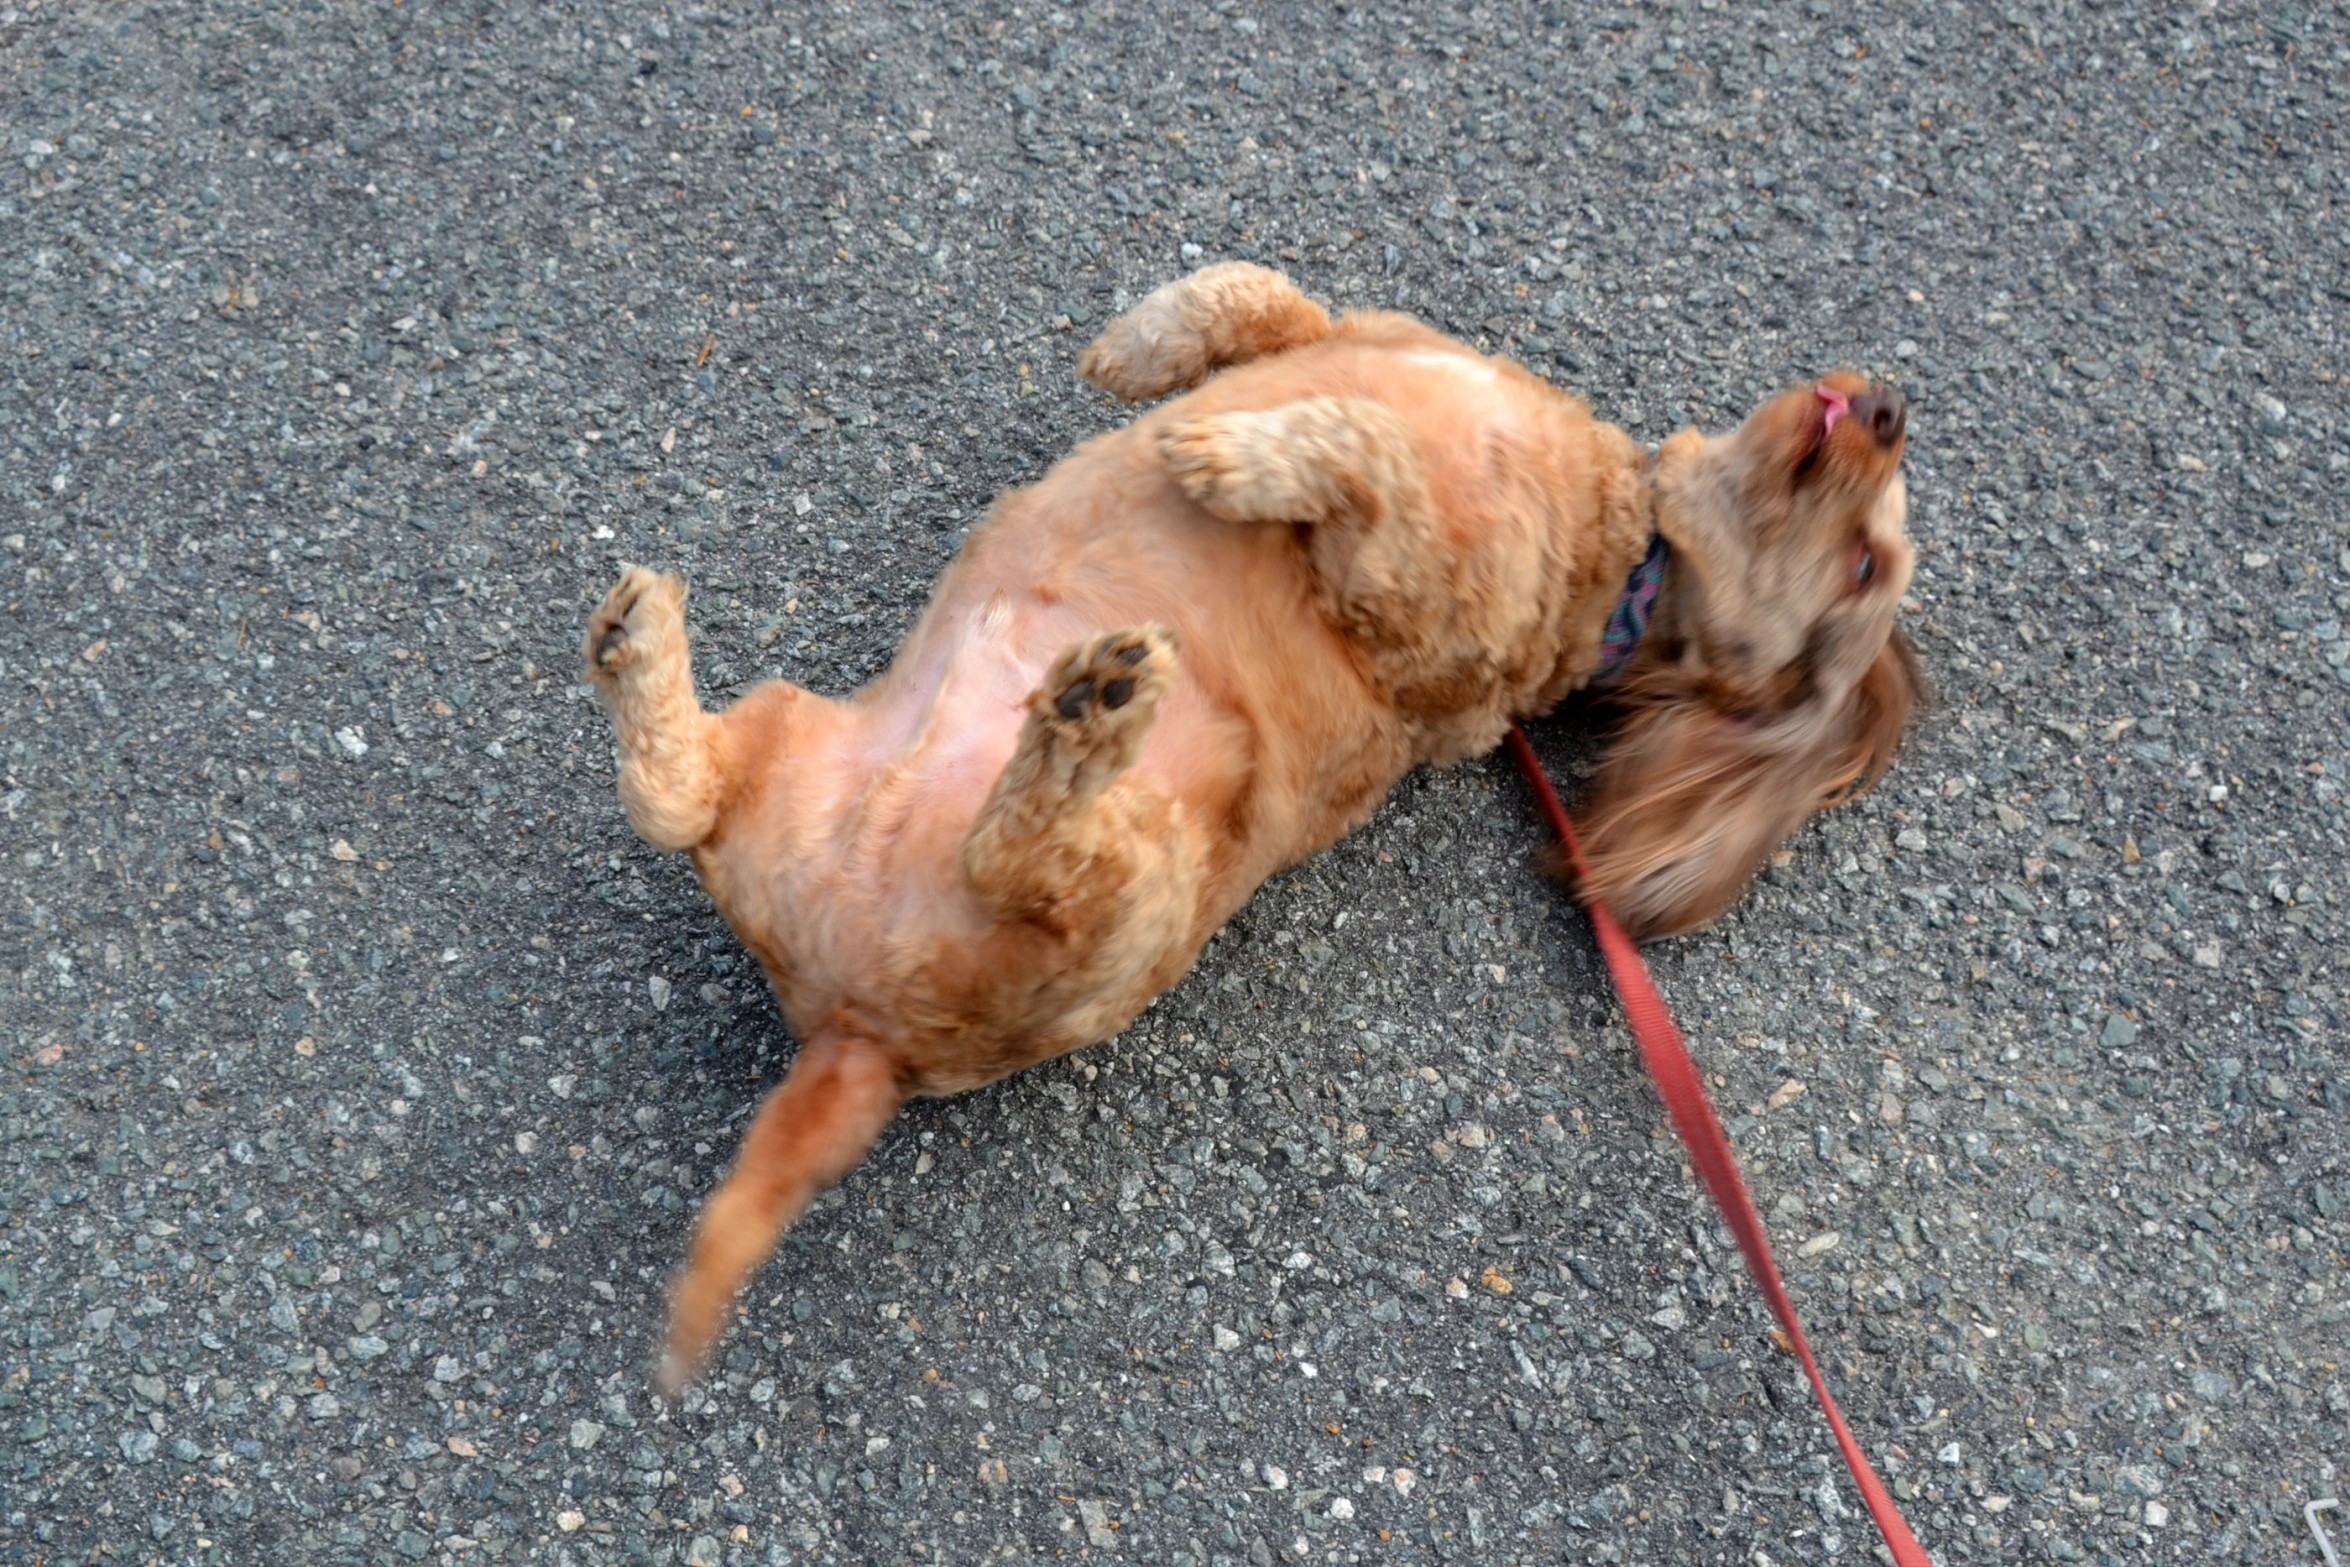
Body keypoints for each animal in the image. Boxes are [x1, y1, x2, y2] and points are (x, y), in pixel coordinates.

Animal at [582, 263, 1908, 1390]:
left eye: (1865, 564)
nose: (1893, 403)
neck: (1629, 550)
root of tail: (855, 1030)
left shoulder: (1420, 600)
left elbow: (1366, 450)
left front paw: (1229, 451)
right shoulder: (1337, 337)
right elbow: (1260, 295)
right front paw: (1138, 350)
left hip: (1133, 889)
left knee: (1021, 854)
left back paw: (1087, 714)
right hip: (790, 735)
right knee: (678, 796)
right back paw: (640, 641)